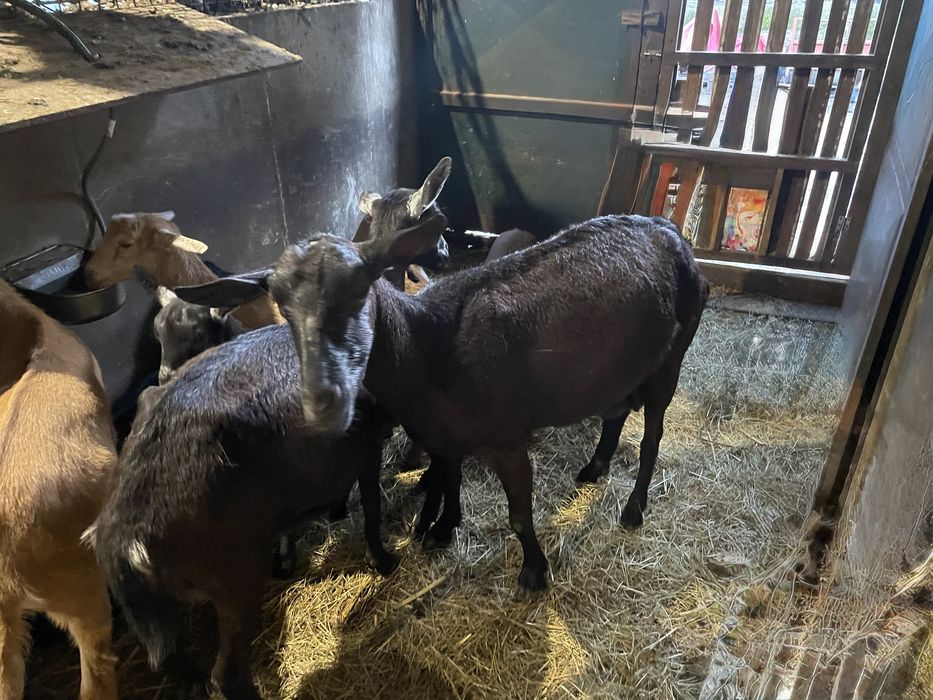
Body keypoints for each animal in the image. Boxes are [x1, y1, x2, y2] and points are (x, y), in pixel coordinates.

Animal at [89, 322, 397, 699]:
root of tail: (125, 538)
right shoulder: (367, 447)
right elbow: (371, 506)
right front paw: (383, 560)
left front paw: (289, 559)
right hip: (237, 577)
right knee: (227, 674)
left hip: (162, 610)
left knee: (172, 660)